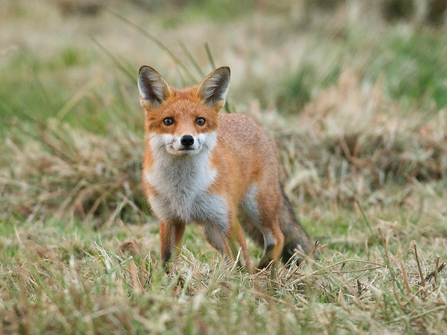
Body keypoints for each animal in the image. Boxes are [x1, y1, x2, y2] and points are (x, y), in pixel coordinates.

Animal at [136, 65, 316, 272]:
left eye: (200, 121)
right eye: (168, 121)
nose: (187, 139)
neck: (184, 191)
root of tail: (253, 123)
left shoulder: (227, 220)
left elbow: (243, 260)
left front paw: (248, 281)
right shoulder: (169, 220)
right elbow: (167, 261)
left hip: (258, 207)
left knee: (277, 238)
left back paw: (262, 271)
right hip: (210, 230)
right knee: (230, 257)